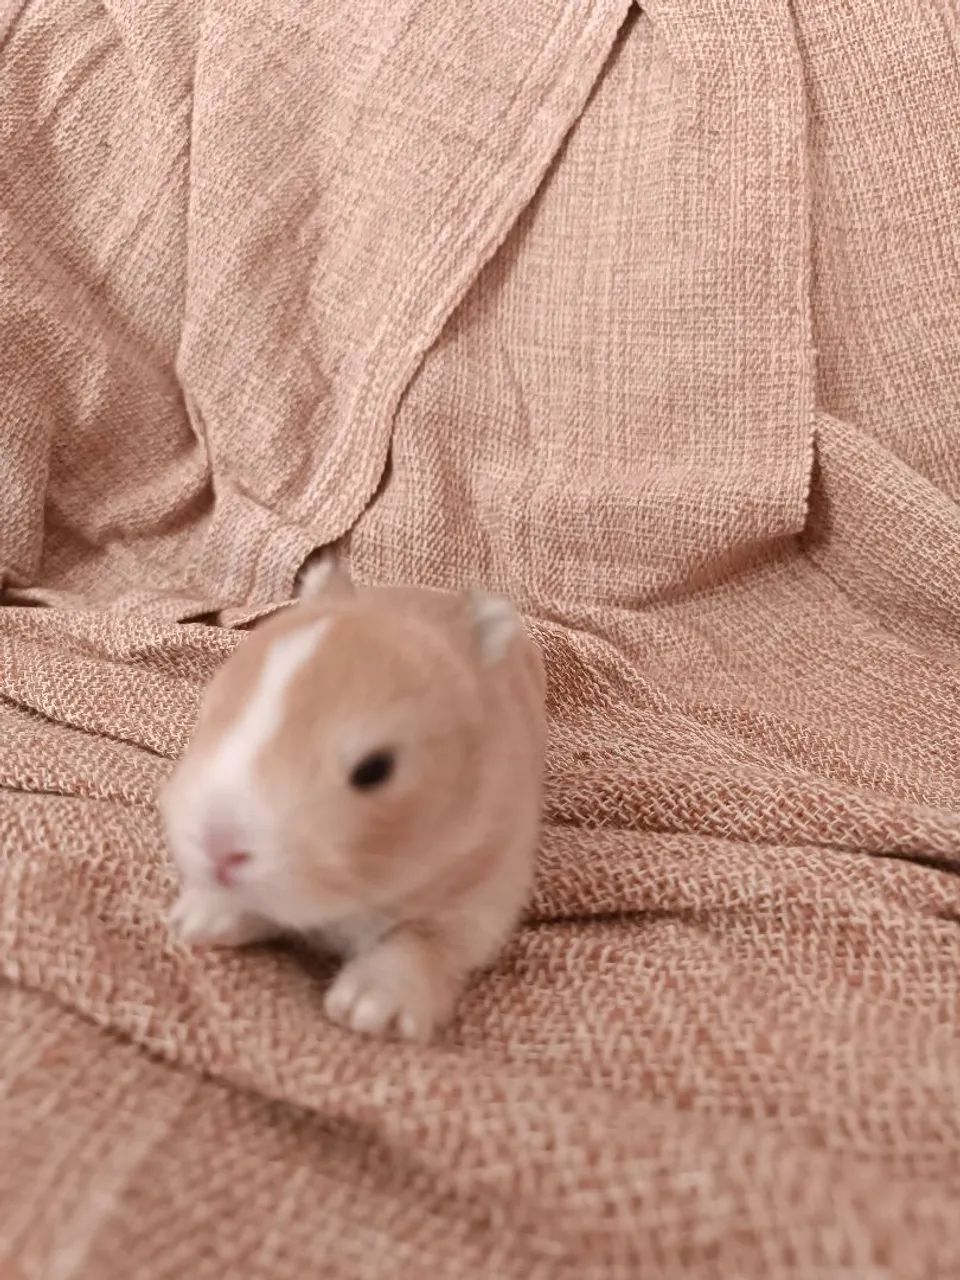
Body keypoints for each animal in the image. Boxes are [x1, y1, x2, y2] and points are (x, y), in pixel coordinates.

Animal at [158, 557, 546, 1043]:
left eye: (375, 769)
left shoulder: (478, 898)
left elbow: (419, 944)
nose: (219, 851)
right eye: (210, 714)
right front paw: (198, 919)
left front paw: (369, 1008)